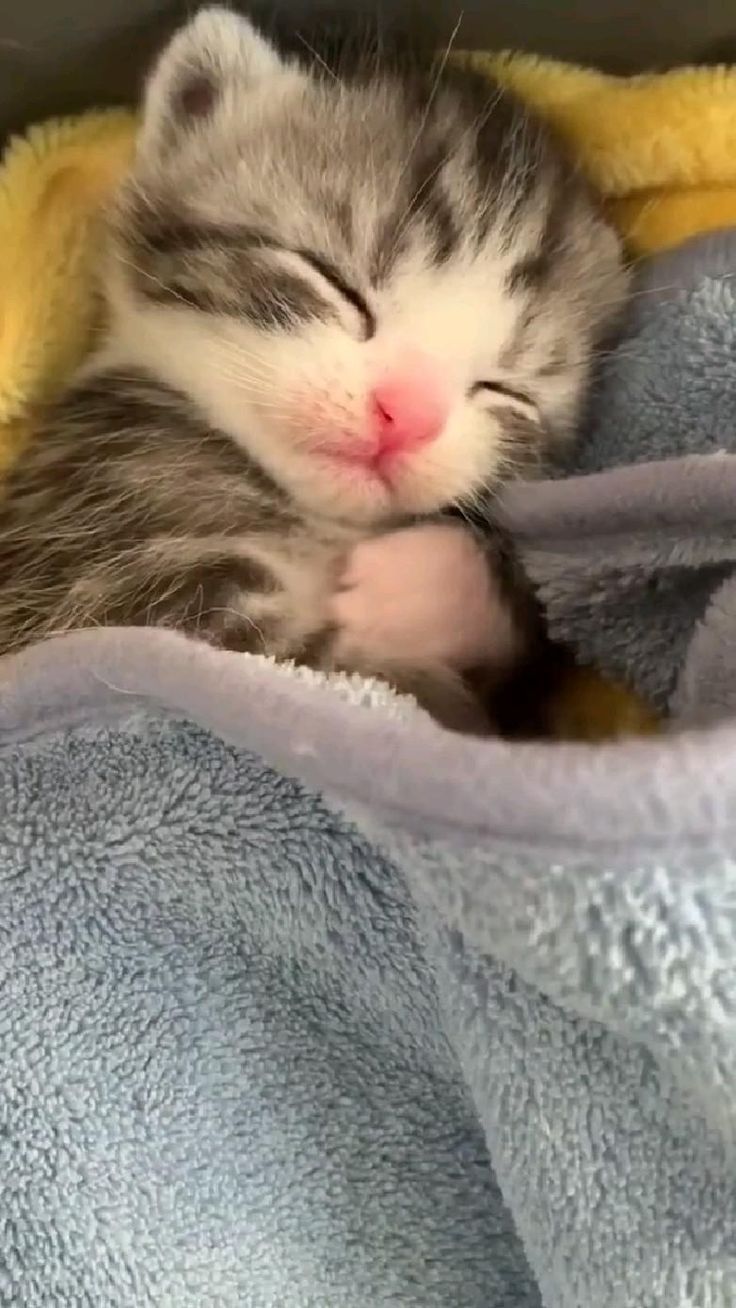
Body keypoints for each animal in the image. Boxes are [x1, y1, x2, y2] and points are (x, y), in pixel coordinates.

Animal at [0, 2, 627, 727]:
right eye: (336, 284)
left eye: (505, 388)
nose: (403, 417)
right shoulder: (113, 587)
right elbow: (332, 683)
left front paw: (433, 584)